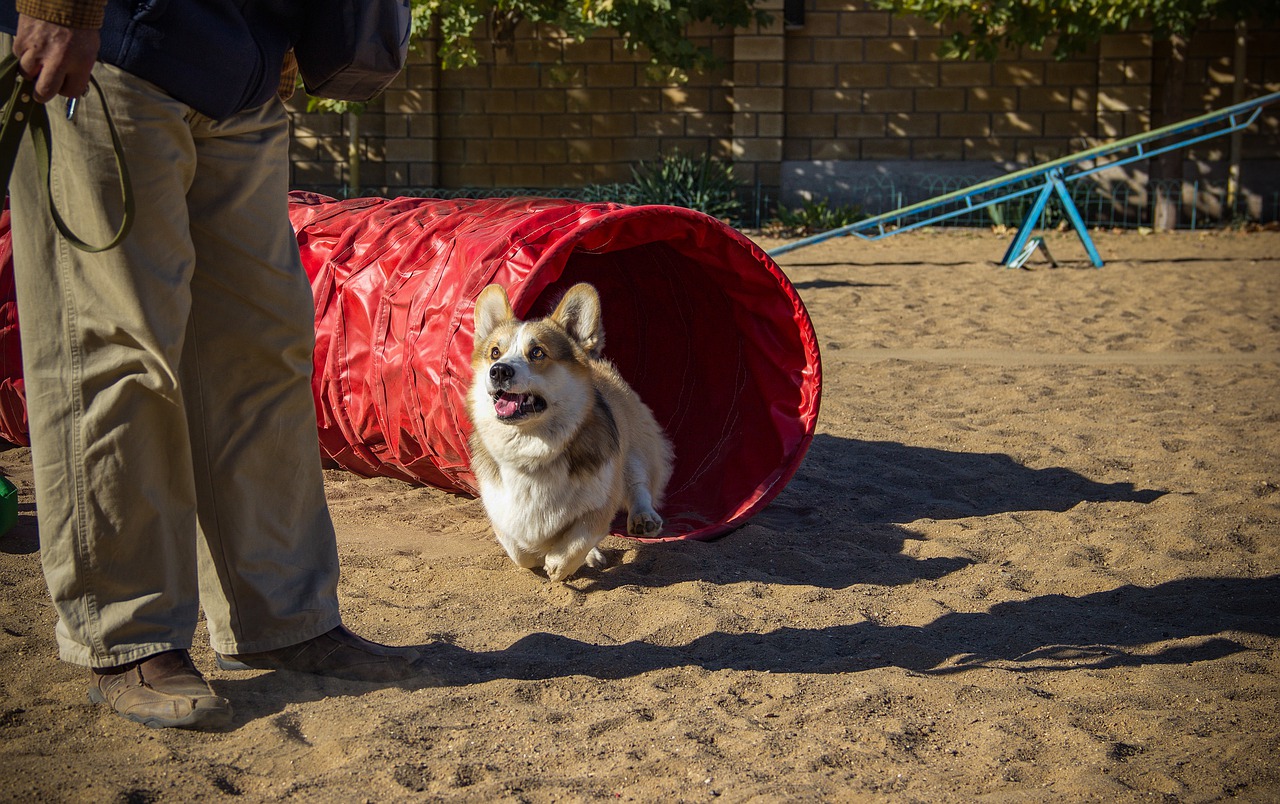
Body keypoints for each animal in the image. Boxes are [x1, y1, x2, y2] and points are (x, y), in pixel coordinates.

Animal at [465, 285, 675, 581]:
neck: (531, 447)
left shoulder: (602, 496)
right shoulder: (501, 509)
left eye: (537, 352)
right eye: (495, 352)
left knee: (639, 486)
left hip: (635, 450)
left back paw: (643, 519)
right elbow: (520, 552)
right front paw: (540, 553)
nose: (499, 371)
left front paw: (558, 562)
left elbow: (579, 537)